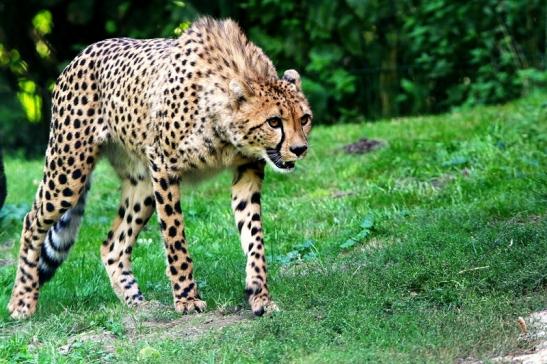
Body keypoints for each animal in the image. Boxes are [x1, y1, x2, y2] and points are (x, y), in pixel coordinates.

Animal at [7, 17, 312, 318]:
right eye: (274, 121)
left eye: (305, 119)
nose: (300, 149)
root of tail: (85, 51)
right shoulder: (165, 166)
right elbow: (175, 237)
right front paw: (187, 298)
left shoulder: (248, 170)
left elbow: (254, 237)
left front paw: (260, 296)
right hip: (68, 171)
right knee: (32, 220)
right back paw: (22, 300)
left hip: (141, 183)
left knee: (113, 245)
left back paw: (137, 302)